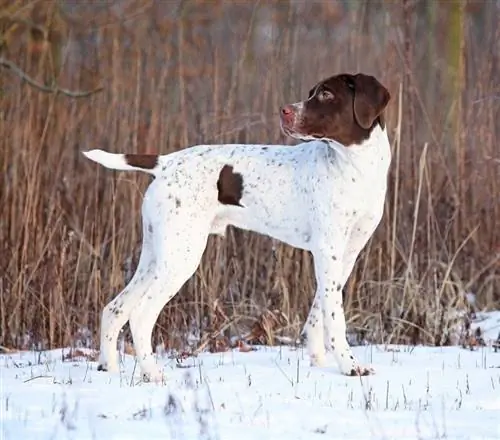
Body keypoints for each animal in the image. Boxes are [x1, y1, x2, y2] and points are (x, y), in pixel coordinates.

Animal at [84, 72, 392, 382]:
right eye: (314, 93)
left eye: (327, 94)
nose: (285, 111)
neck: (355, 169)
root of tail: (167, 162)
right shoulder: (328, 252)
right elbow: (335, 318)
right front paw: (350, 366)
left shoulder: (346, 255)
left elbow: (320, 311)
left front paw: (318, 359)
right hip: (180, 258)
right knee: (140, 315)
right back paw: (153, 373)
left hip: (156, 256)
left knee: (114, 309)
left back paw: (109, 369)